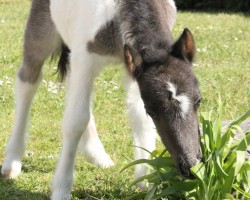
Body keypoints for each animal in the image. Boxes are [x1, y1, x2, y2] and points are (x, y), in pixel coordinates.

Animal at [0, 0, 202, 198]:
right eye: (152, 110)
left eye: (199, 101)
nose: (191, 166)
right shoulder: (85, 58)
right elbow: (75, 122)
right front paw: (61, 189)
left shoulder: (132, 68)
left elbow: (139, 117)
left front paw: (146, 181)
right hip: (42, 30)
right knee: (28, 82)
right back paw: (12, 162)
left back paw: (97, 155)